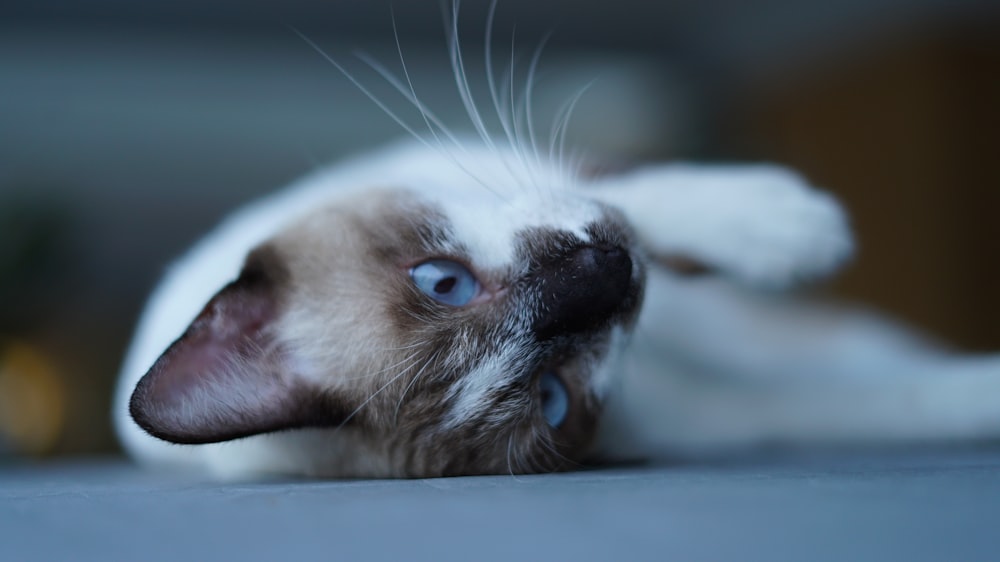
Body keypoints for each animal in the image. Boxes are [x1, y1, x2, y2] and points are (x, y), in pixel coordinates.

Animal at [113, 7, 1000, 476]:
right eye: (553, 397)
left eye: (440, 280)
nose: (612, 273)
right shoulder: (696, 414)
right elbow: (898, 402)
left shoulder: (518, 167)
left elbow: (645, 195)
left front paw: (793, 225)